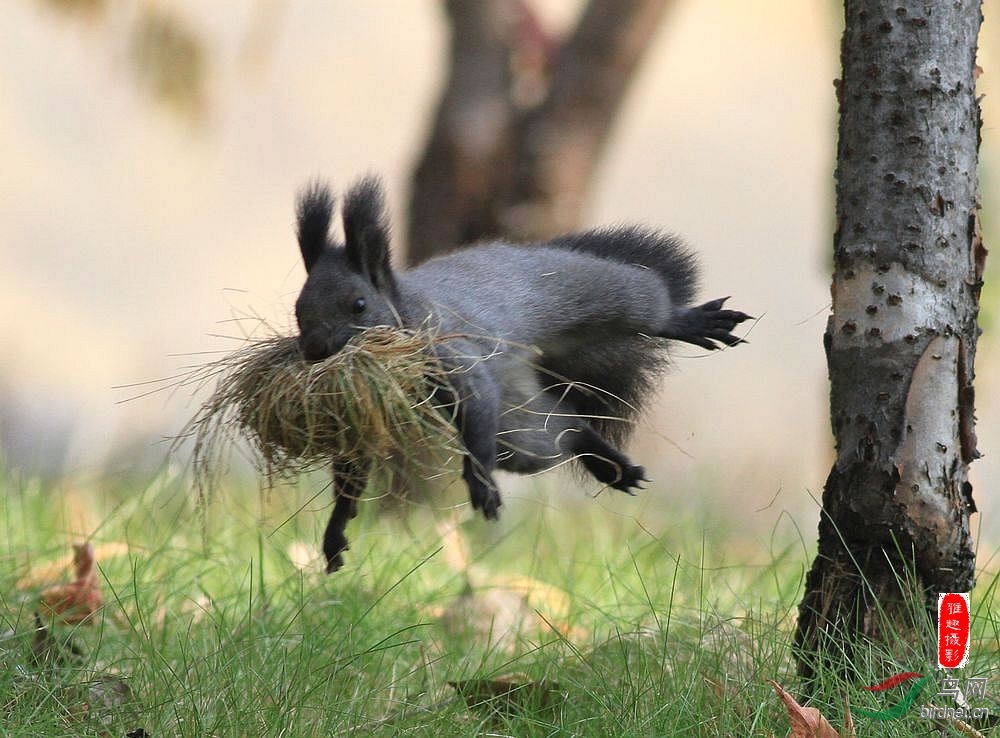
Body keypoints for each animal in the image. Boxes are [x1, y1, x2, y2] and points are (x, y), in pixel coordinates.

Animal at [292, 177, 748, 568]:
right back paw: (608, 464)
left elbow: (475, 404)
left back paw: (689, 322)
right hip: (519, 422)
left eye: (358, 305)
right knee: (563, 427)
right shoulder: (367, 405)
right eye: (298, 309)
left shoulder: (453, 354)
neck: (407, 313)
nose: (315, 349)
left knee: (646, 306)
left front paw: (481, 486)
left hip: (596, 291)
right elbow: (354, 465)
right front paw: (335, 532)